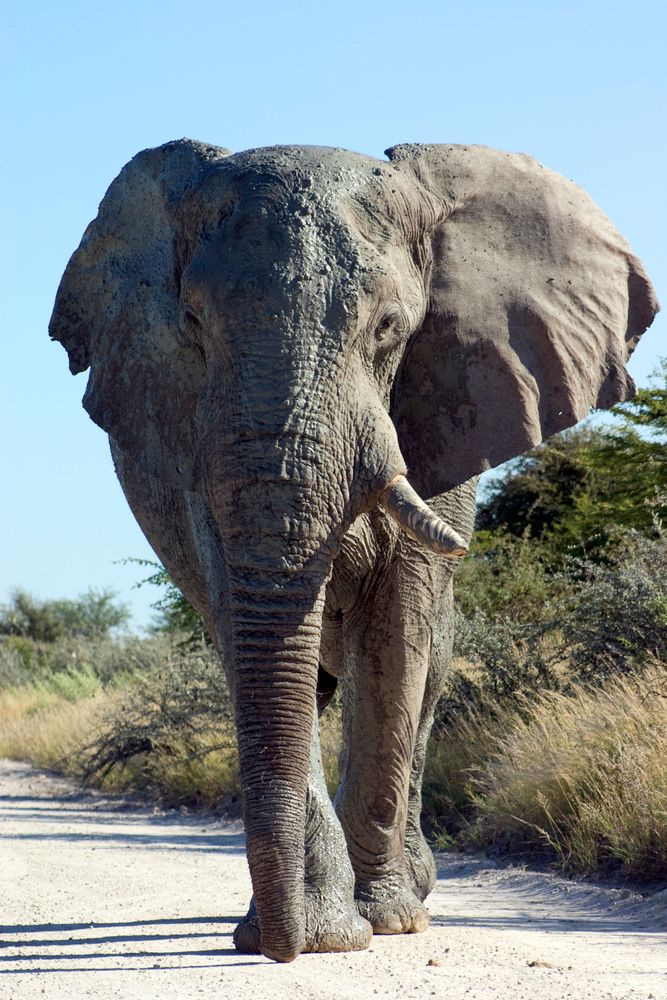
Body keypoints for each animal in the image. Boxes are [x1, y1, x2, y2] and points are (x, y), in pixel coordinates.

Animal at [50, 139, 658, 962]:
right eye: (193, 323)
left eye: (389, 327)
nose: (277, 950)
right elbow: (250, 637)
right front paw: (321, 934)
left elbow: (398, 633)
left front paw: (384, 923)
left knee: (425, 674)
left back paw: (413, 889)